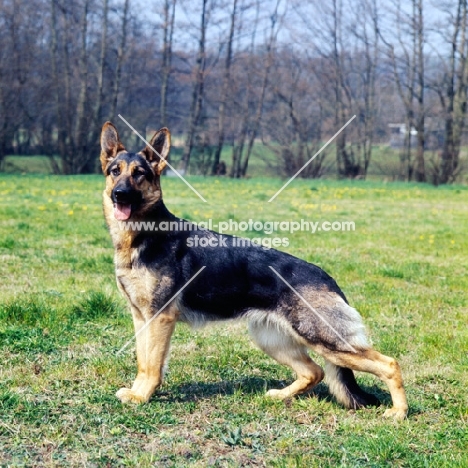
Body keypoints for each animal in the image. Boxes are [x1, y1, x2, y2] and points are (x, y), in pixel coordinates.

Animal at [100, 121, 408, 420]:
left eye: (139, 174)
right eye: (115, 172)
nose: (119, 194)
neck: (142, 237)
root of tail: (328, 279)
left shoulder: (160, 319)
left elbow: (153, 364)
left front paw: (142, 396)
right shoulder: (141, 318)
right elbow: (143, 361)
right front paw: (137, 392)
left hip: (326, 341)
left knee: (389, 364)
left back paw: (399, 412)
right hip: (271, 339)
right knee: (315, 372)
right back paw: (281, 396)